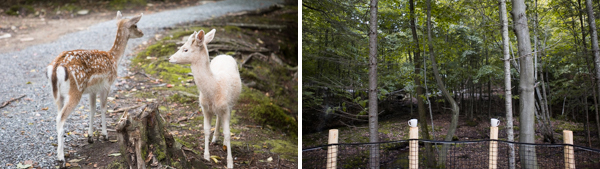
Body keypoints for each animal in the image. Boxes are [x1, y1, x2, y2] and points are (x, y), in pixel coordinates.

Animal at [46, 11, 142, 162]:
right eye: (136, 25)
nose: (142, 33)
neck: (114, 59)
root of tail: (56, 67)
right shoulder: (106, 85)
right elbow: (103, 108)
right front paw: (105, 135)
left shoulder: (92, 90)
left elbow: (92, 109)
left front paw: (90, 137)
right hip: (75, 91)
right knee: (60, 118)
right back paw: (61, 158)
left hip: (57, 95)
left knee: (58, 115)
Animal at [168, 29, 243, 168]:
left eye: (185, 49)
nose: (170, 58)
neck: (214, 89)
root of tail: (224, 55)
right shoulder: (205, 108)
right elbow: (206, 130)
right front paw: (207, 157)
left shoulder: (225, 107)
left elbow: (228, 133)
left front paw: (230, 163)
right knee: (218, 118)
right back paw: (215, 138)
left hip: (231, 103)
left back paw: (223, 143)